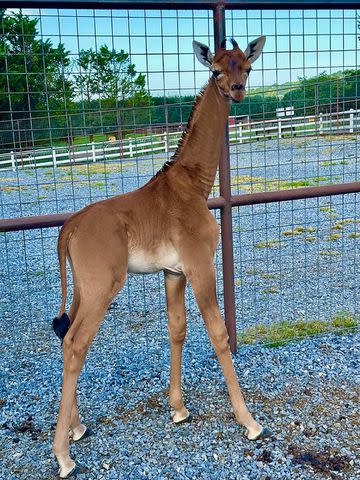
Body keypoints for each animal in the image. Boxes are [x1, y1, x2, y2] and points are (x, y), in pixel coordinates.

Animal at [52, 35, 268, 478]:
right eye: (215, 71)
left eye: (247, 67)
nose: (237, 91)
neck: (194, 185)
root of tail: (69, 228)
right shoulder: (200, 265)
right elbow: (218, 334)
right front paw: (250, 422)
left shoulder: (173, 272)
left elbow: (177, 329)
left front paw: (179, 408)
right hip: (102, 287)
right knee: (76, 344)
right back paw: (63, 455)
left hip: (82, 287)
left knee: (65, 336)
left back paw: (77, 428)